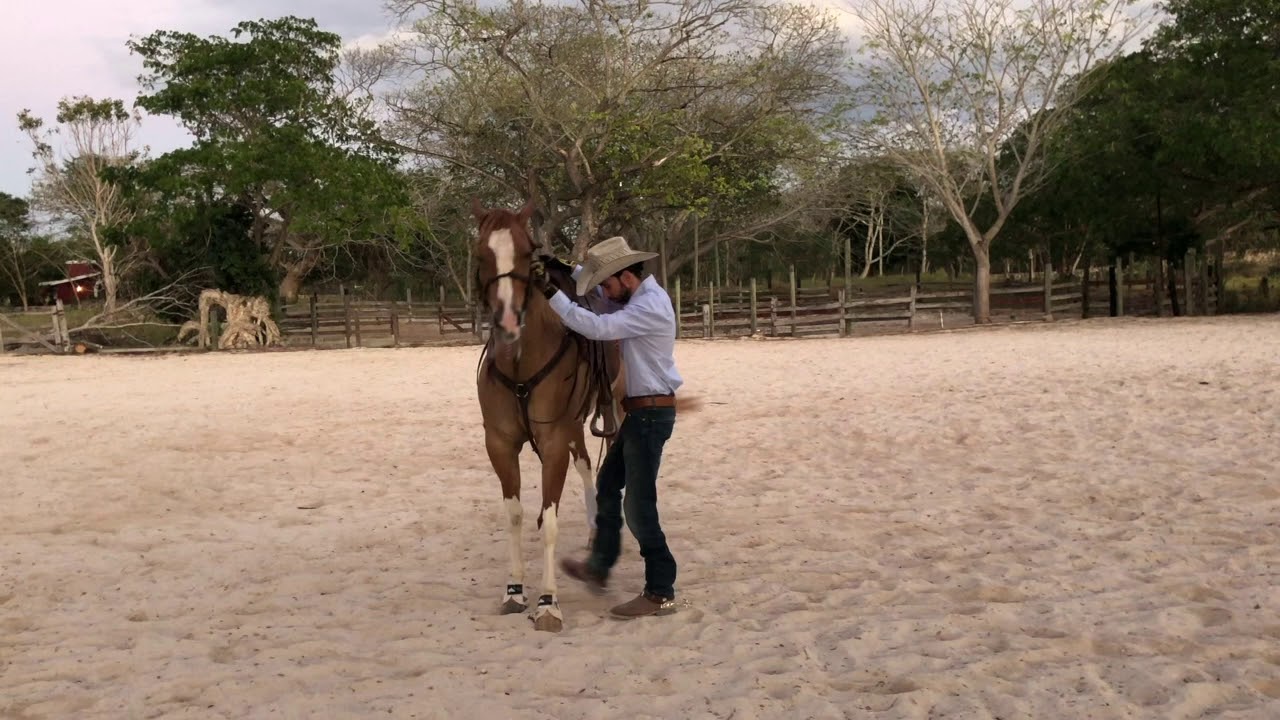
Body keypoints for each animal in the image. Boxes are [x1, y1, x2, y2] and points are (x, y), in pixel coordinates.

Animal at [471, 198, 624, 632]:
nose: (507, 321)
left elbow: (550, 521)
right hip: (574, 426)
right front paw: (514, 591)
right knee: (586, 462)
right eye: (481, 253)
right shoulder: (500, 444)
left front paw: (547, 603)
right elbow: (516, 514)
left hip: (610, 410)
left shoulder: (553, 441)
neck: (522, 363)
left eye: (527, 252)